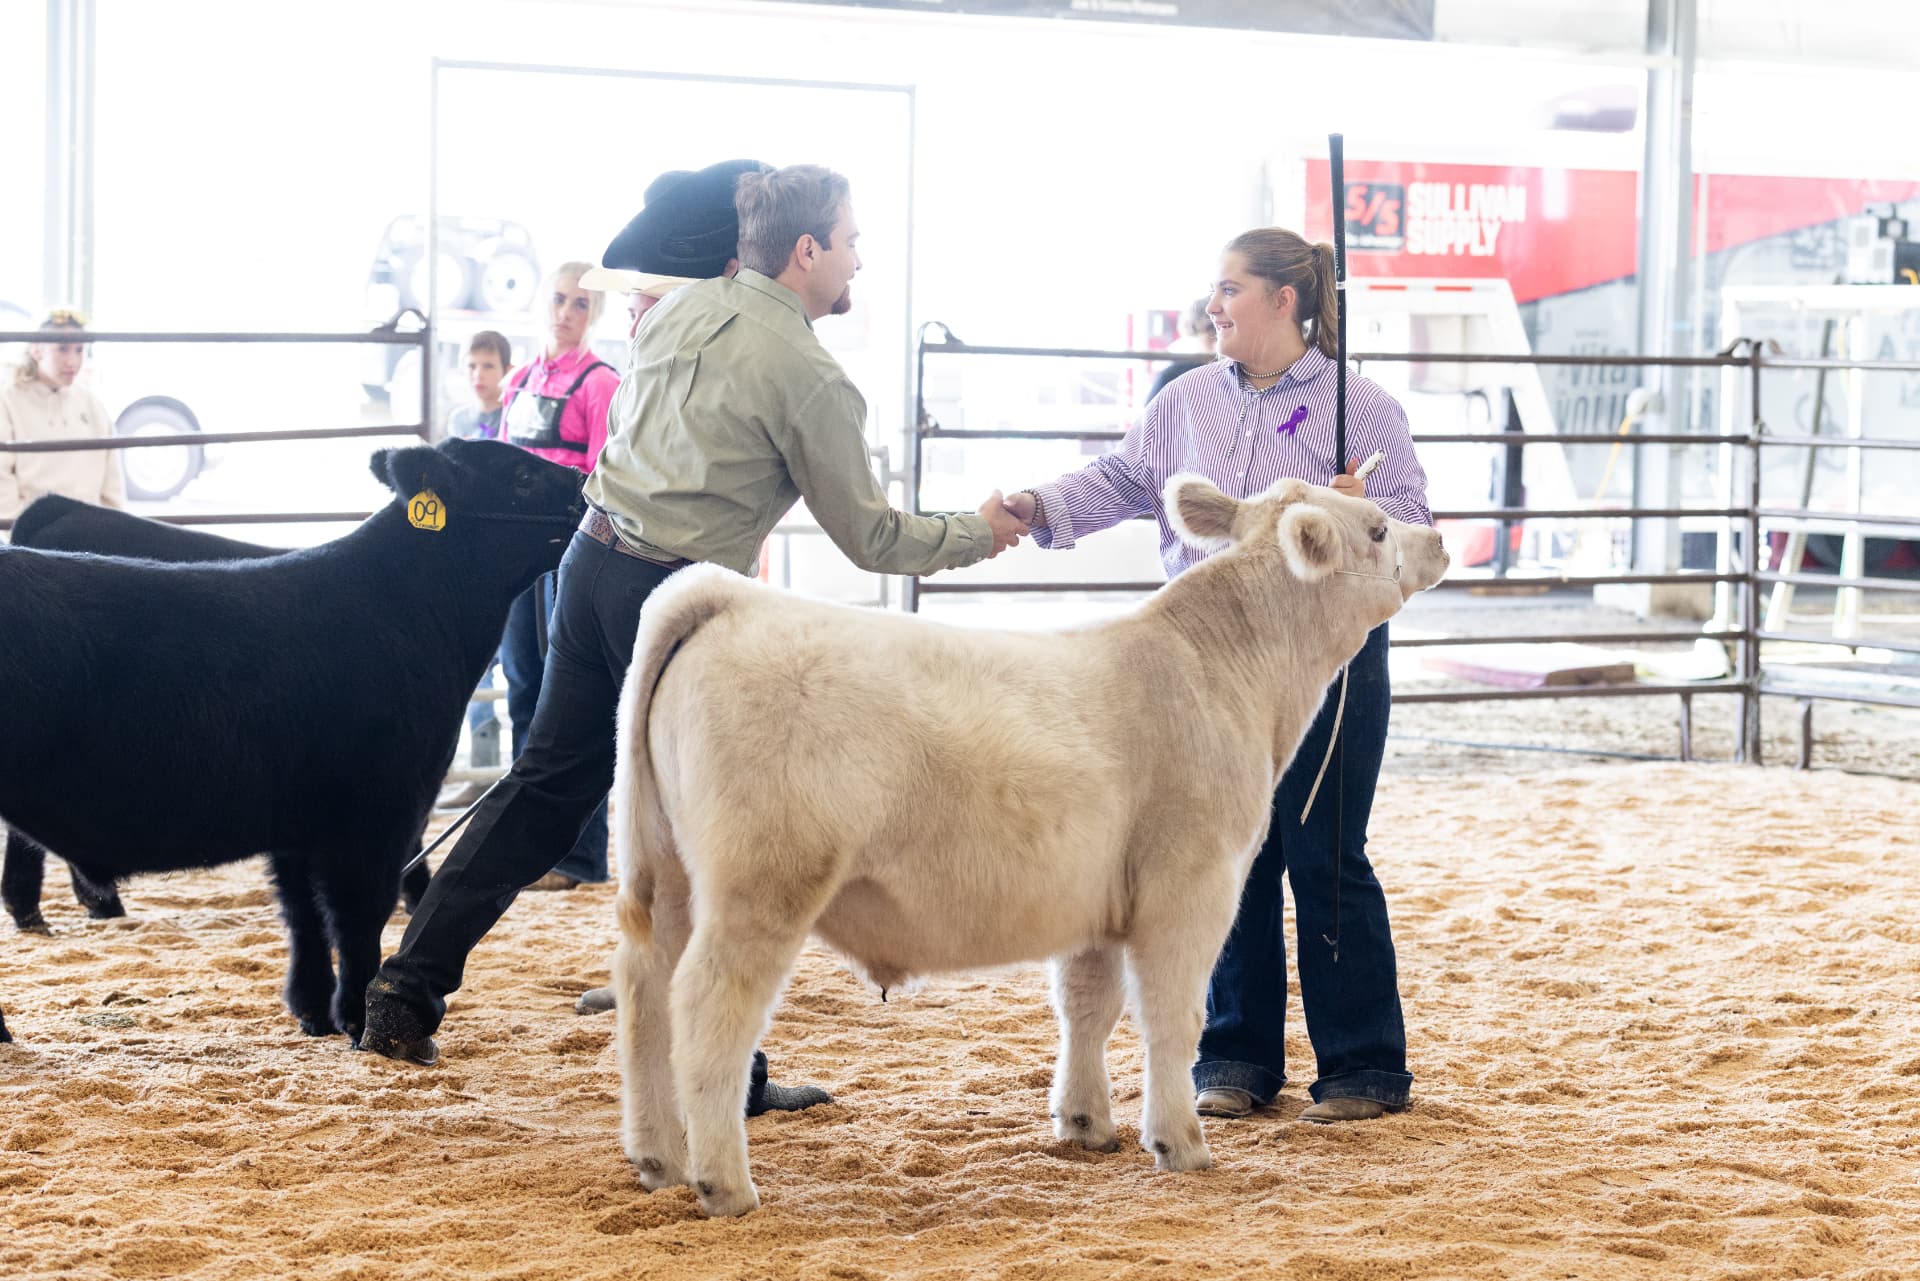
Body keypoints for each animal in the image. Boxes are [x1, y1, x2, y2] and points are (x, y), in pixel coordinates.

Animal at [0, 438, 585, 1045]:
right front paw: (360, 1020)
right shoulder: (381, 808)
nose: (587, 487)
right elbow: (357, 914)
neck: (405, 609)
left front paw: (313, 1013)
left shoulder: (301, 822)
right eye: (520, 477)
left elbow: (303, 914)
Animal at [606, 473, 1450, 1215]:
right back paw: (723, 1182)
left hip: (668, 874)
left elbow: (1088, 1005)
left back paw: (658, 1157)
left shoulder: (1101, 899)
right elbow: (1171, 1014)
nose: (1439, 538)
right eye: (1378, 528)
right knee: (707, 1005)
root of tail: (733, 597)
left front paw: (1086, 1123)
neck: (1221, 671)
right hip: (762, 885)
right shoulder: (1192, 884)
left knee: (646, 994)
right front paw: (1178, 1140)